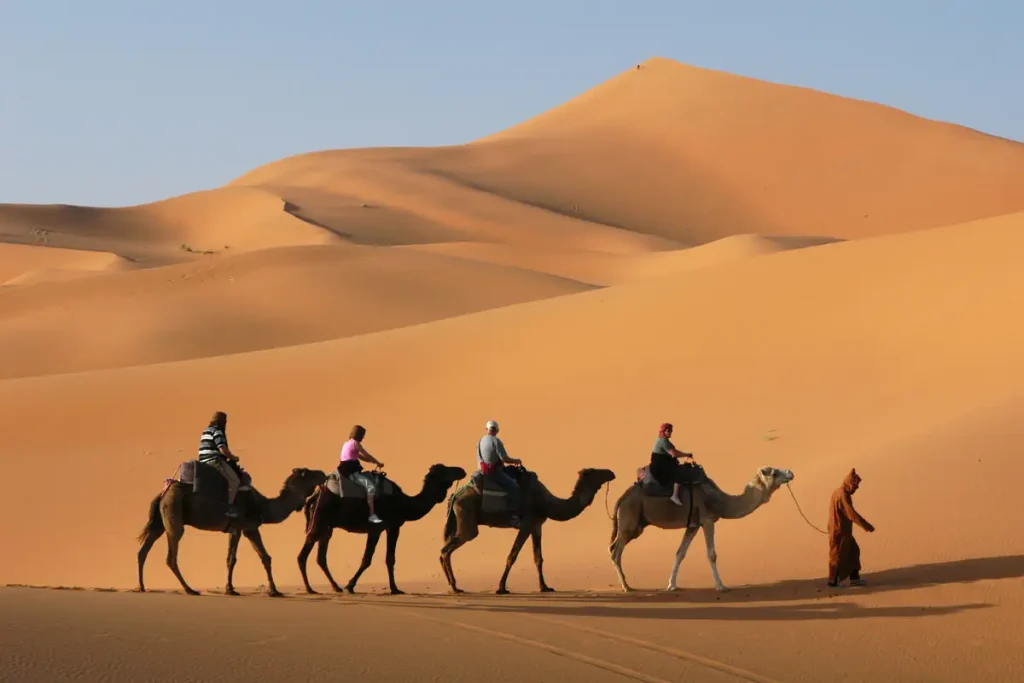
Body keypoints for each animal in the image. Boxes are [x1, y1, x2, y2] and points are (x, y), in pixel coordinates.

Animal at [136, 464, 325, 598]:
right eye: (310, 473)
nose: (324, 473)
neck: (262, 506)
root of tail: (163, 493)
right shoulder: (237, 527)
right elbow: (232, 559)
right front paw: (230, 589)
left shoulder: (251, 528)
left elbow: (265, 557)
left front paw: (275, 591)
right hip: (173, 512)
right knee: (171, 555)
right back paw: (190, 590)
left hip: (160, 521)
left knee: (143, 550)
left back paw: (142, 587)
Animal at [299, 462, 466, 593]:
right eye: (445, 470)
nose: (461, 470)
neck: (404, 504)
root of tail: (315, 495)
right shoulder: (380, 528)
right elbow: (368, 559)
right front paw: (350, 585)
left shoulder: (390, 527)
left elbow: (389, 558)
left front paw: (394, 589)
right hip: (319, 520)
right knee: (303, 555)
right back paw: (310, 589)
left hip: (327, 527)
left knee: (321, 557)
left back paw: (335, 587)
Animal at [440, 464, 614, 593]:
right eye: (594, 471)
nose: (611, 472)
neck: (546, 503)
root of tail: (455, 495)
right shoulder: (526, 525)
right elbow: (512, 556)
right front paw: (501, 588)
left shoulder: (537, 526)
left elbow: (538, 558)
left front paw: (545, 587)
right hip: (467, 514)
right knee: (448, 548)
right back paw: (455, 587)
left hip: (457, 518)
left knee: (445, 548)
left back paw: (452, 585)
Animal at [610, 464, 794, 593]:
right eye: (774, 473)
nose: (790, 472)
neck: (722, 501)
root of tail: (621, 498)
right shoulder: (708, 520)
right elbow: (711, 554)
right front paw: (721, 586)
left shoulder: (693, 525)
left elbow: (680, 553)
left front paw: (671, 585)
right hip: (630, 521)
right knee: (615, 551)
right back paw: (626, 587)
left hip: (635, 525)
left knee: (614, 548)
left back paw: (627, 584)